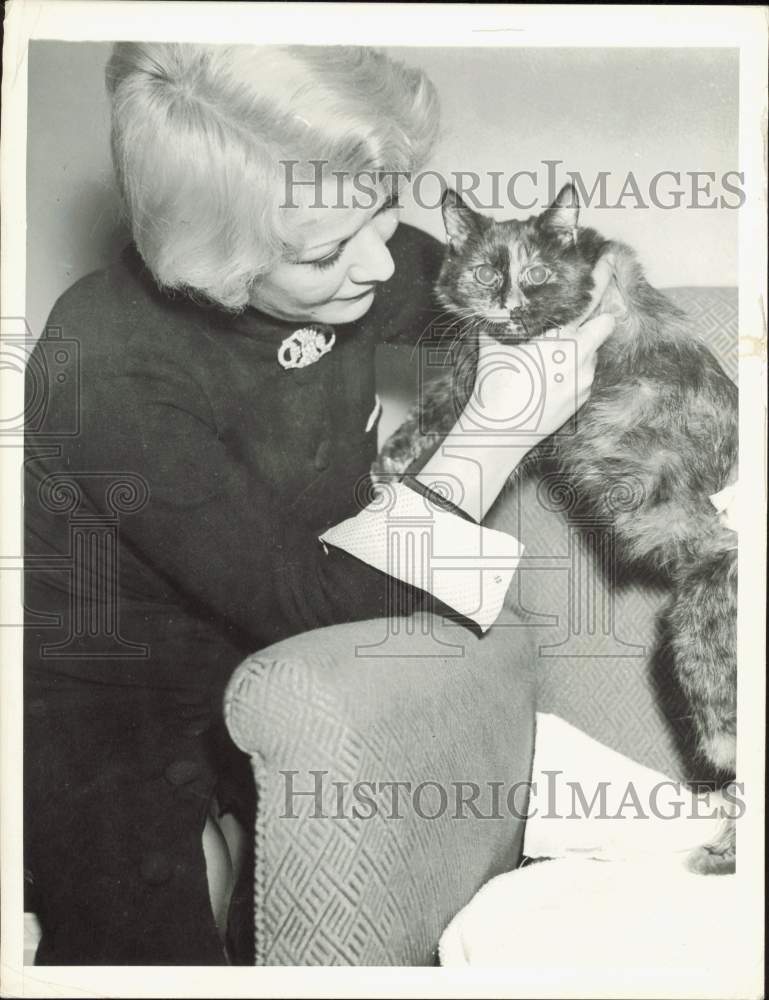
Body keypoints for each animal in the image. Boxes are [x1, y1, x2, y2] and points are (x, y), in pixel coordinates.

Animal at [376, 186, 736, 876]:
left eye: (538, 273)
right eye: (485, 272)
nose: (509, 303)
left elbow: (442, 404)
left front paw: (394, 462)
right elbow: (436, 404)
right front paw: (392, 461)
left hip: (705, 654)